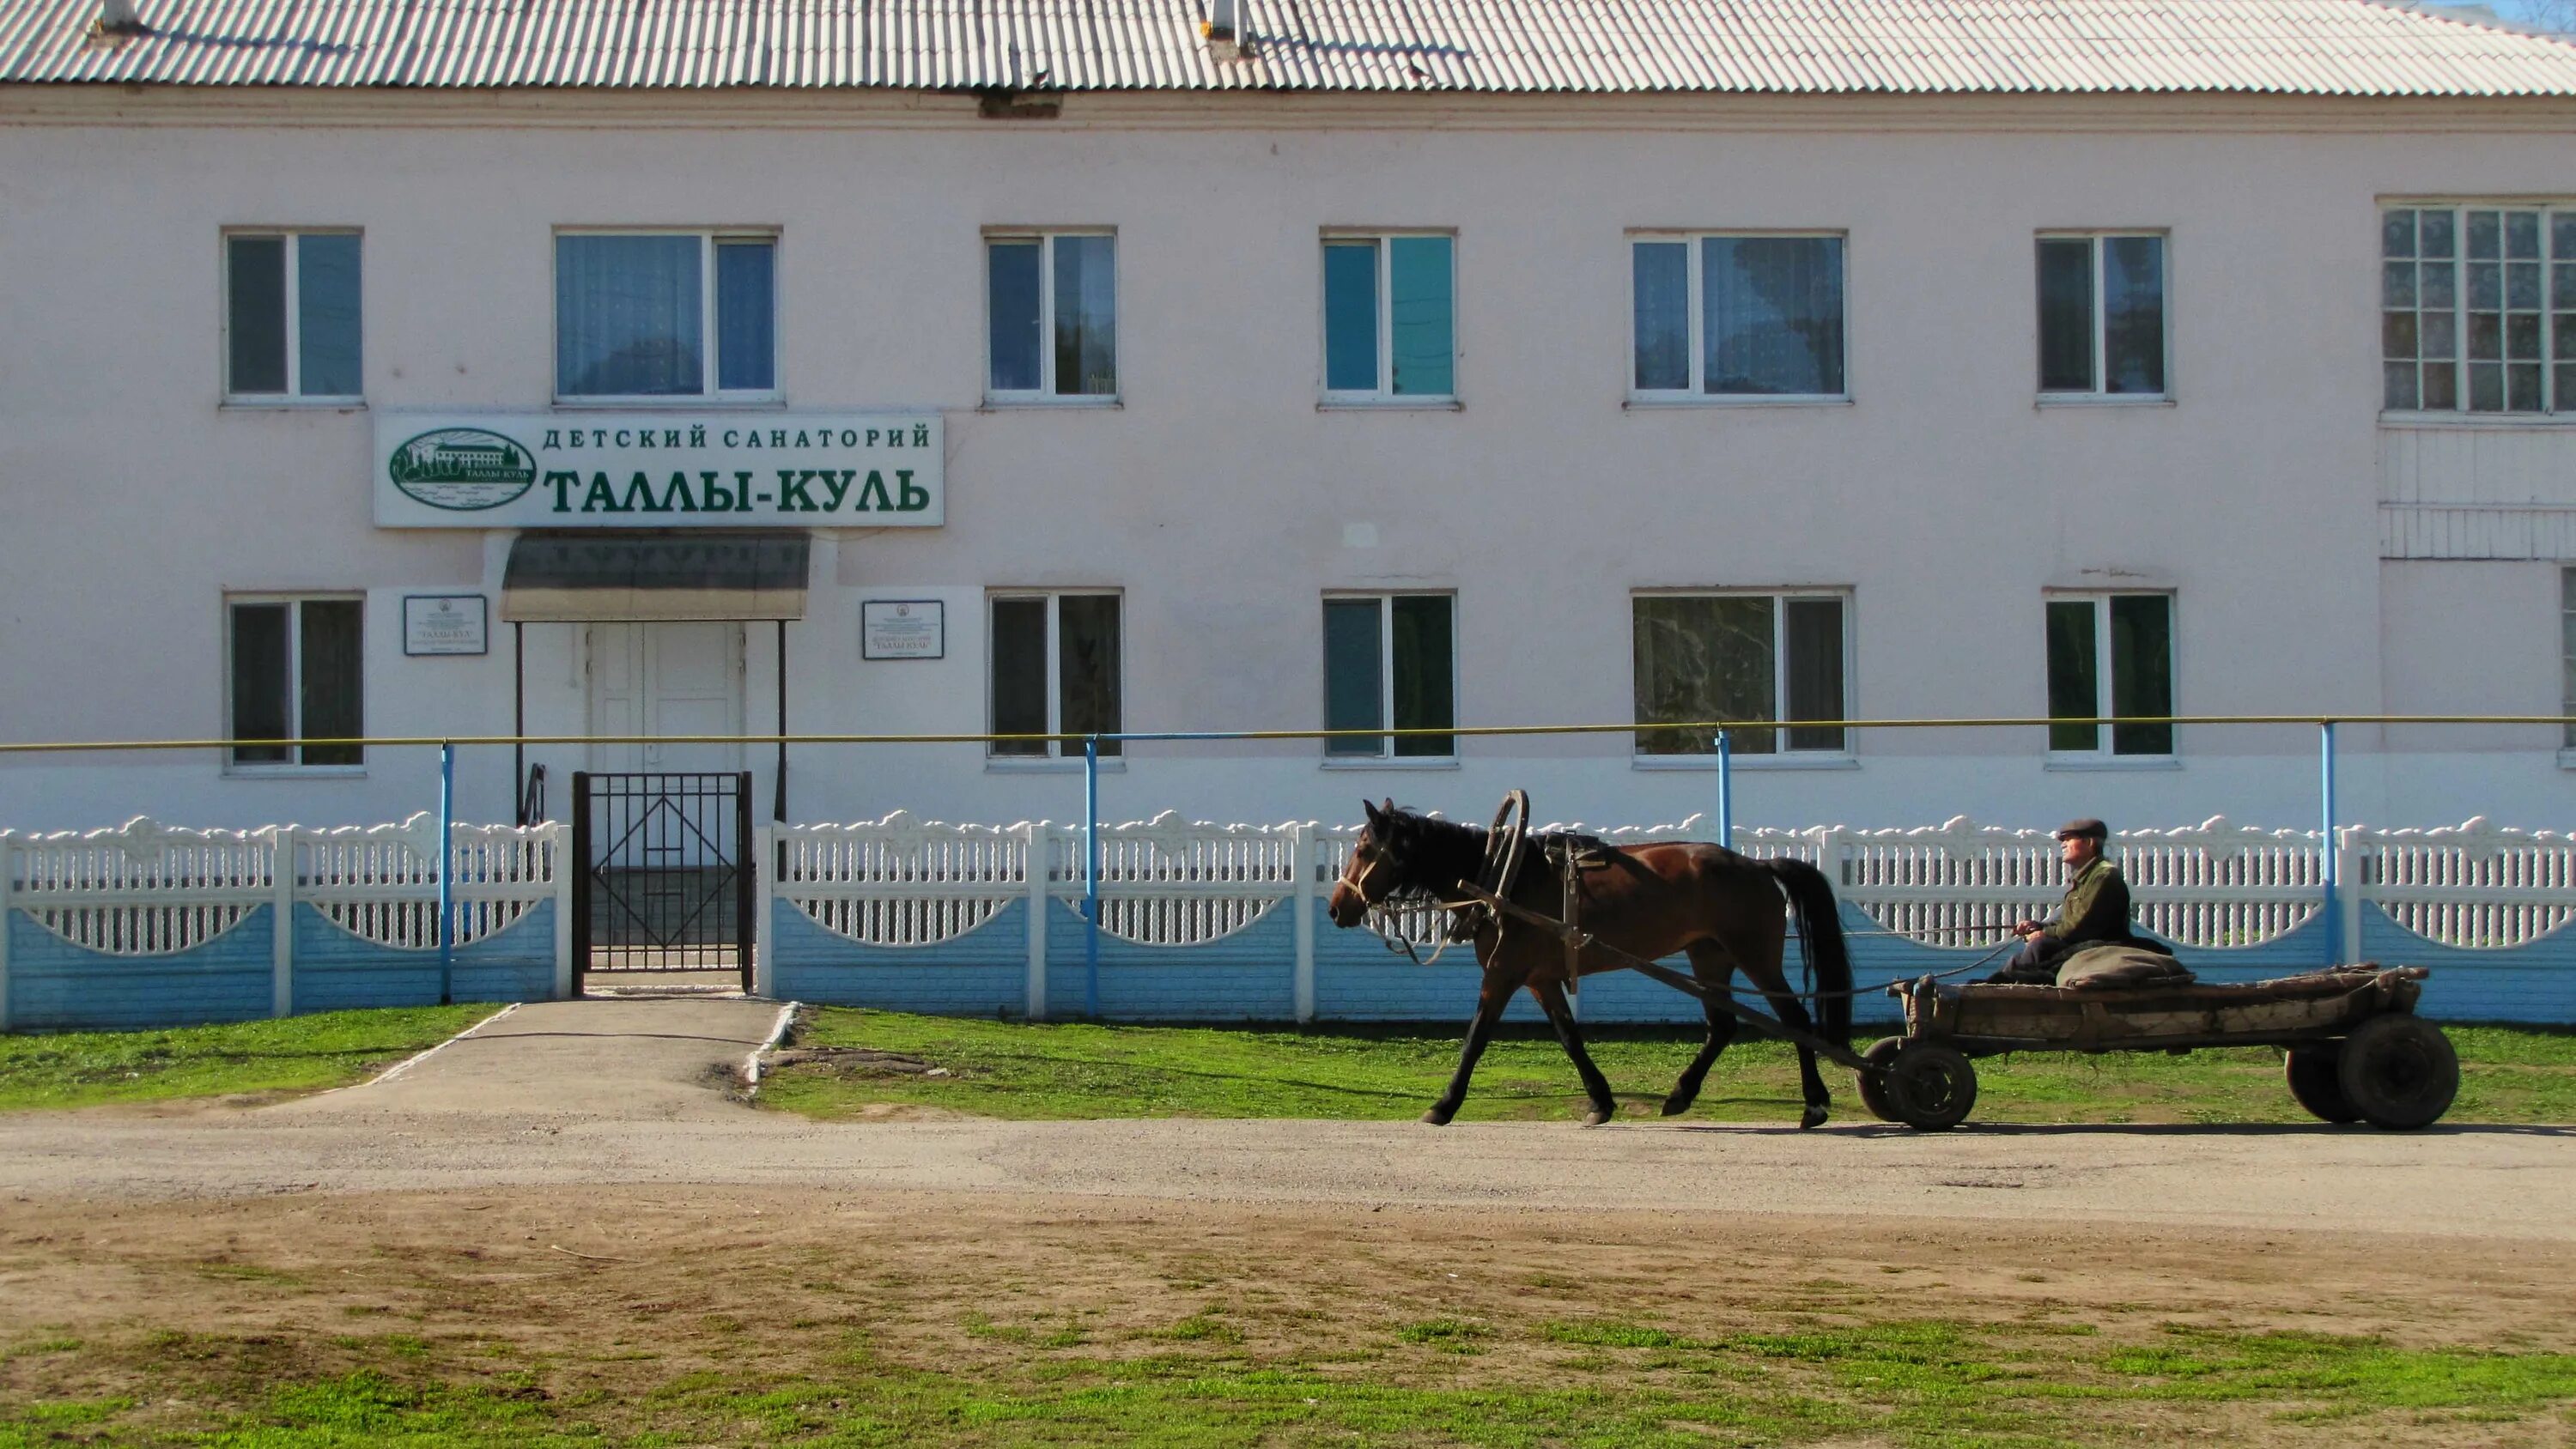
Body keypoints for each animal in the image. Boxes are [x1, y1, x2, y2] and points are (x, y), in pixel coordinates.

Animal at [1329, 803, 1855, 1132]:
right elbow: (1569, 1037)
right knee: (1723, 1025)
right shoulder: (1539, 979)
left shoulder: (1503, 973)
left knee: (1794, 1020)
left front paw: (1444, 1105)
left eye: (1364, 850)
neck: (1502, 876)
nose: (1337, 908)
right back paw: (1681, 1094)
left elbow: (1475, 1038)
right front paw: (1600, 1102)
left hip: (1755, 956)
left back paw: (1814, 1104)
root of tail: (1757, 866)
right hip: (1709, 956)